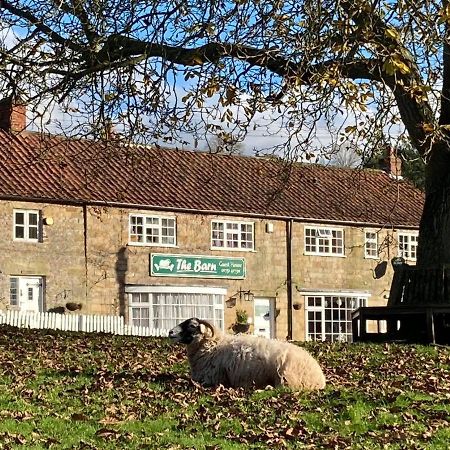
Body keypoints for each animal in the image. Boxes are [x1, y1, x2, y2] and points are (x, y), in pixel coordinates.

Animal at [167, 316, 326, 390]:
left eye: (192, 326)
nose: (170, 332)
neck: (213, 346)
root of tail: (319, 378)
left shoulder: (211, 378)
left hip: (286, 378)